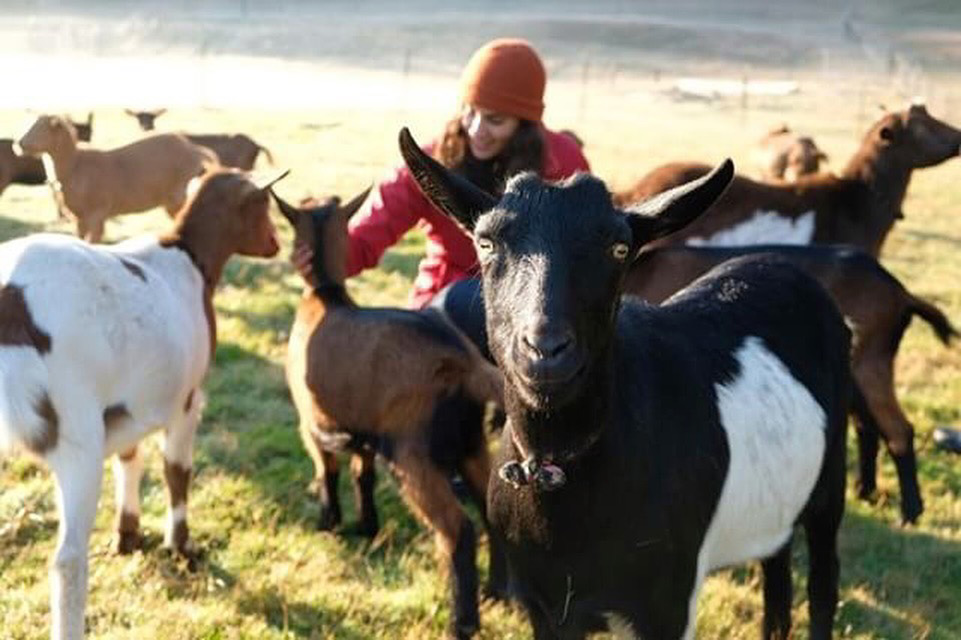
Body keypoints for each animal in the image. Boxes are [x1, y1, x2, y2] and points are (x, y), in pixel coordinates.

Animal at [0, 168, 284, 636]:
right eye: (263, 207)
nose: (276, 244)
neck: (188, 255)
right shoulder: (188, 400)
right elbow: (177, 471)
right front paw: (181, 545)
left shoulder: (125, 405)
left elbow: (129, 459)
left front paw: (127, 533)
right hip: (77, 437)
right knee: (68, 561)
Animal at [272, 188, 502, 636]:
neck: (325, 294)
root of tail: (463, 363)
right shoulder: (364, 425)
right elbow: (362, 473)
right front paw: (367, 525)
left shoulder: (312, 426)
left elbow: (327, 471)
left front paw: (329, 522)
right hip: (468, 442)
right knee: (489, 508)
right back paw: (498, 592)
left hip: (411, 452)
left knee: (457, 529)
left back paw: (462, 622)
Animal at [624, 242, 952, 524]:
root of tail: (901, 293)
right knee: (867, 425)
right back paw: (865, 491)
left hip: (870, 363)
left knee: (898, 429)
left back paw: (909, 513)